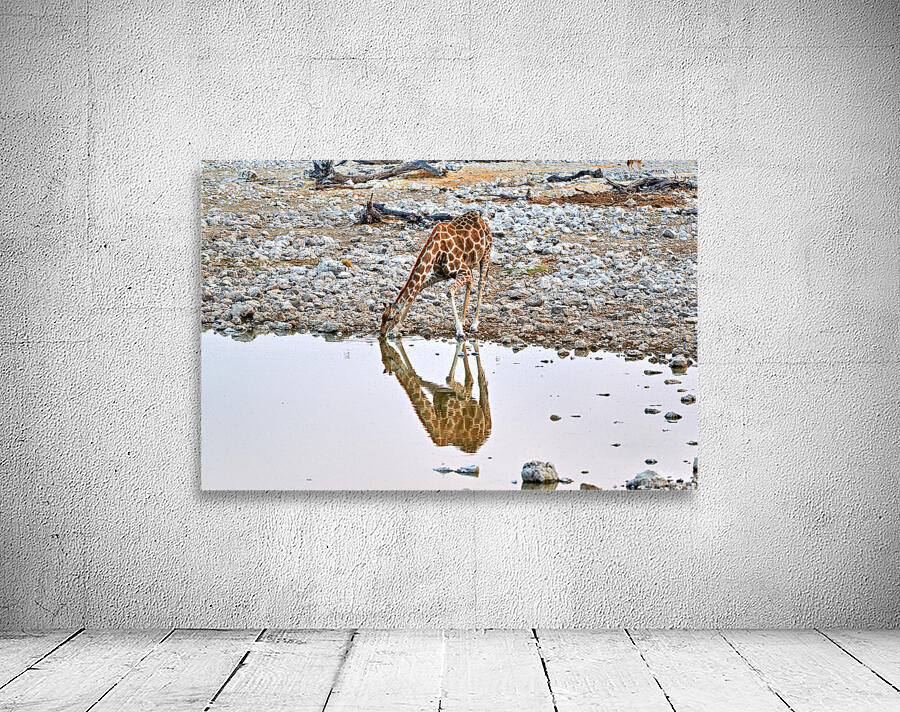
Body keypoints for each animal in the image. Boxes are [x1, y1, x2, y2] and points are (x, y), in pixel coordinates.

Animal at [380, 211, 492, 339]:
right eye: (382, 317)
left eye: (390, 318)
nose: (382, 334)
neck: (437, 250)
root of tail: (481, 219)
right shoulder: (441, 274)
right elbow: (418, 290)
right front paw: (395, 331)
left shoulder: (463, 271)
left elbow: (449, 292)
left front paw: (460, 332)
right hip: (469, 264)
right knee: (471, 282)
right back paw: (463, 321)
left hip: (486, 254)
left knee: (481, 283)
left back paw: (473, 325)